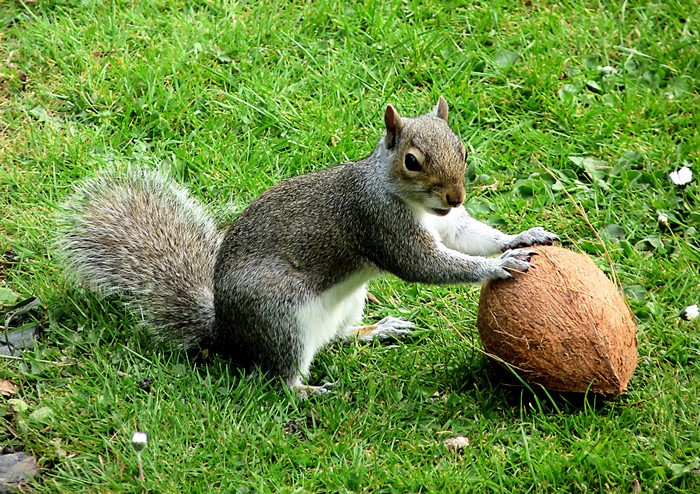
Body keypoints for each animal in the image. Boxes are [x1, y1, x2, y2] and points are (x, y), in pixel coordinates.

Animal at [58, 97, 558, 396]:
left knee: (338, 337)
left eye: (463, 149)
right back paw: (309, 391)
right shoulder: (378, 224)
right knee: (282, 377)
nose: (455, 197)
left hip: (348, 302)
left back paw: (377, 330)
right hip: (279, 316)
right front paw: (499, 266)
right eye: (412, 161)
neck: (409, 201)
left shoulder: (448, 226)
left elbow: (469, 238)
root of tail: (227, 332)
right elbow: (426, 266)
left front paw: (520, 238)